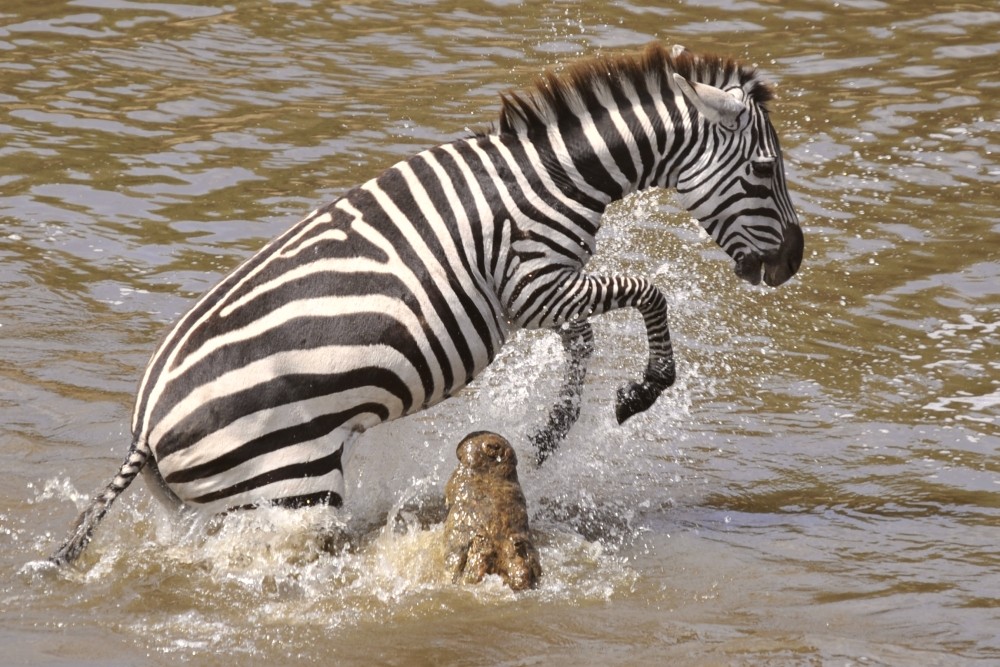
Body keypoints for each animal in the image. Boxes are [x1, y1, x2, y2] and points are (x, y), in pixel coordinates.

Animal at [52, 40, 804, 564]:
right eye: (765, 170)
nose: (793, 262)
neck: (556, 174)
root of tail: (147, 430)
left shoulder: (536, 294)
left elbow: (584, 341)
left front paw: (552, 431)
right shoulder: (535, 283)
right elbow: (649, 293)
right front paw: (641, 391)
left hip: (210, 507)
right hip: (290, 481)